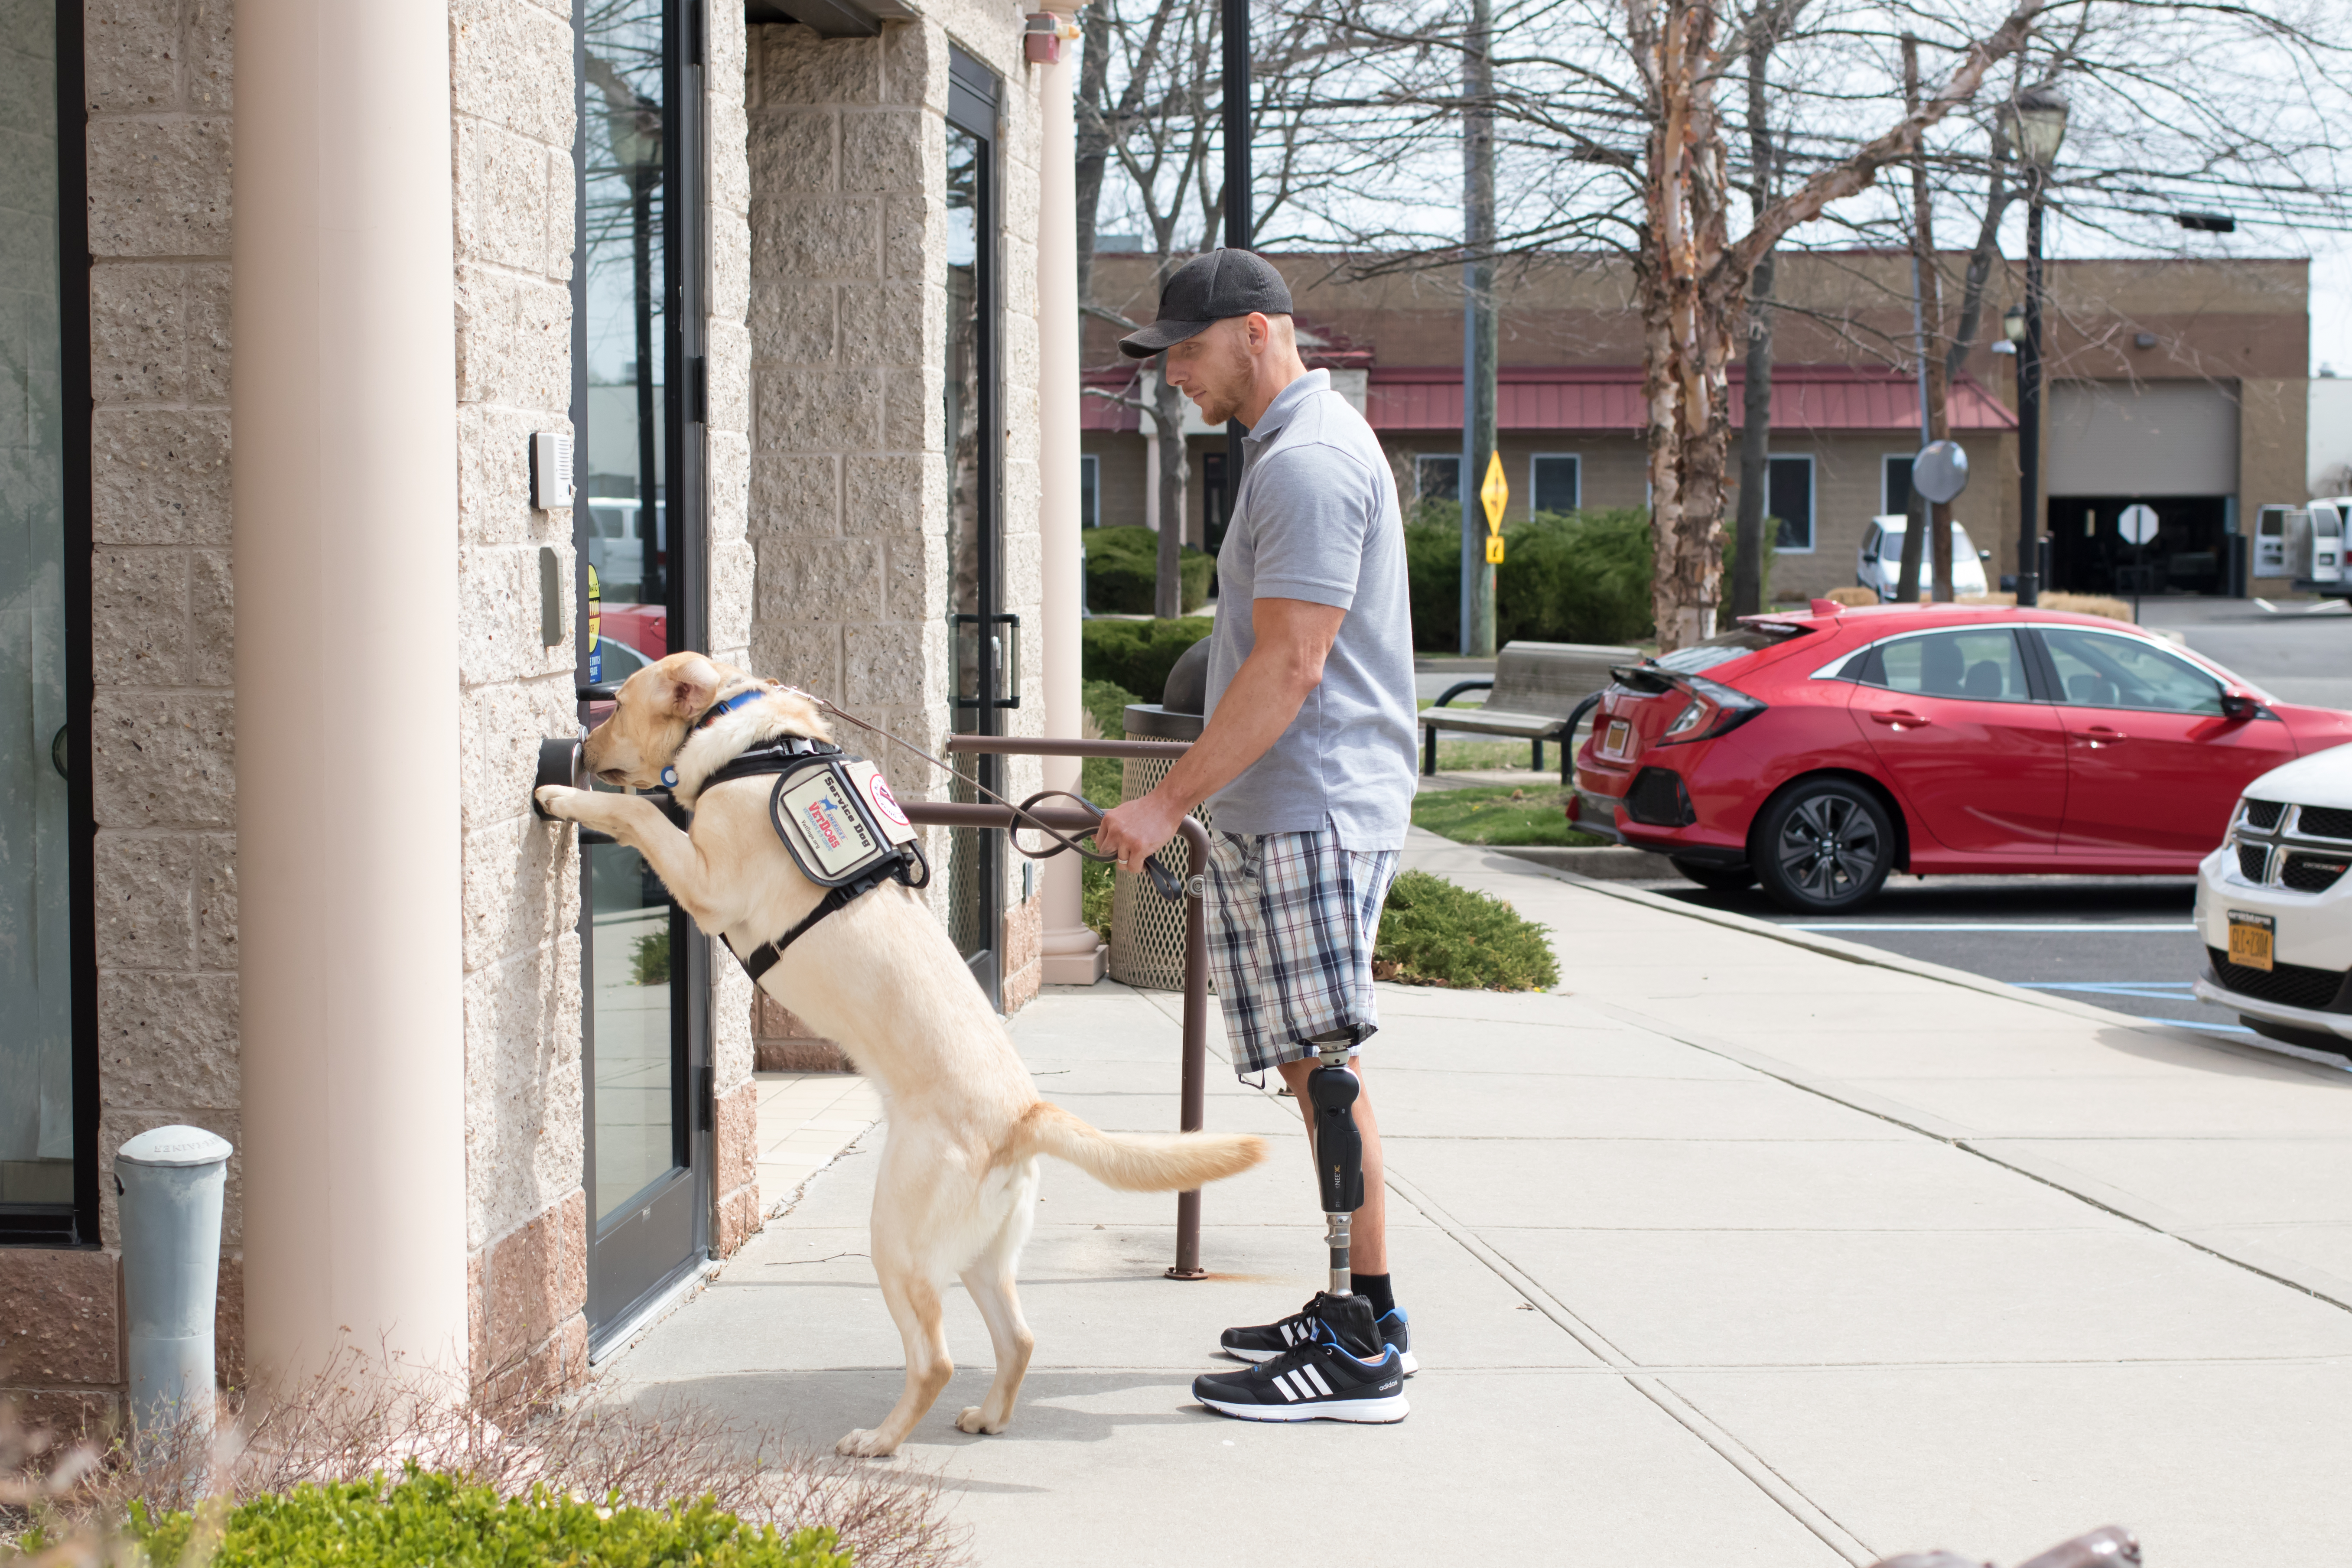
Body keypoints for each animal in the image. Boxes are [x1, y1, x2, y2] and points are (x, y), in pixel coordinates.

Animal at [538, 653, 1270, 1457]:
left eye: (618, 706)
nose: (581, 741)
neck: (746, 740)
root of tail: (1025, 1114)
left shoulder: (708, 882)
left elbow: (642, 814)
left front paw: (564, 795)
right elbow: (648, 810)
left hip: (897, 1238)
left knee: (936, 1359)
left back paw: (880, 1439)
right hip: (983, 1252)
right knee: (1018, 1338)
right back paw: (988, 1416)